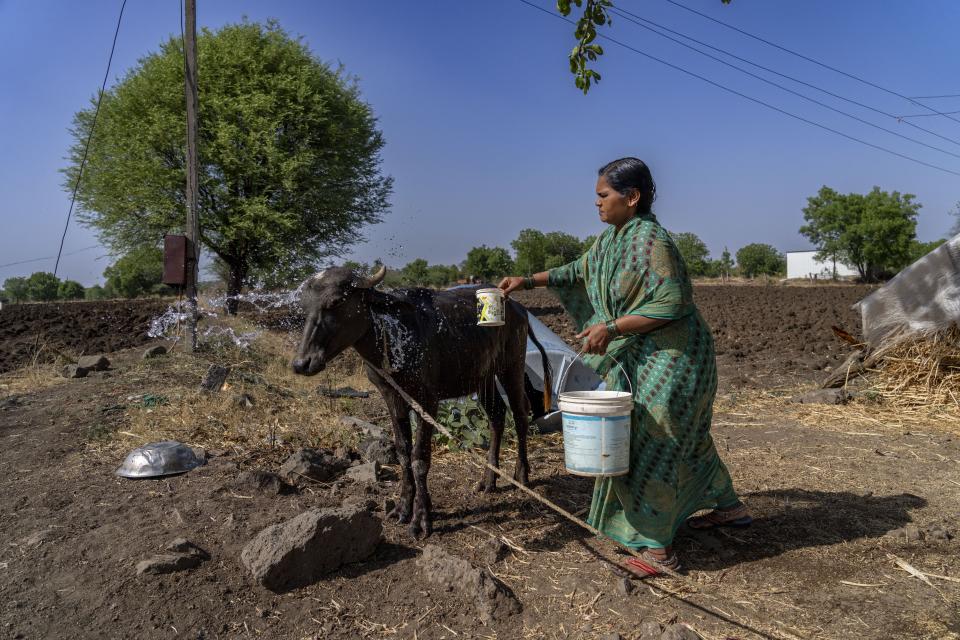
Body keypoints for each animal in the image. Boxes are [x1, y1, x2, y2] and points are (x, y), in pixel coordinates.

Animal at [288, 266, 552, 540]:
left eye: (337, 301)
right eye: (305, 306)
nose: (302, 363)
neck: (388, 335)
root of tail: (518, 308)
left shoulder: (427, 400)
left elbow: (420, 457)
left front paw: (421, 518)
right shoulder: (391, 396)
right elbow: (403, 451)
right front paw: (403, 507)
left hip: (512, 367)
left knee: (520, 413)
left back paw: (521, 474)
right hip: (483, 378)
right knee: (497, 416)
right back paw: (489, 480)